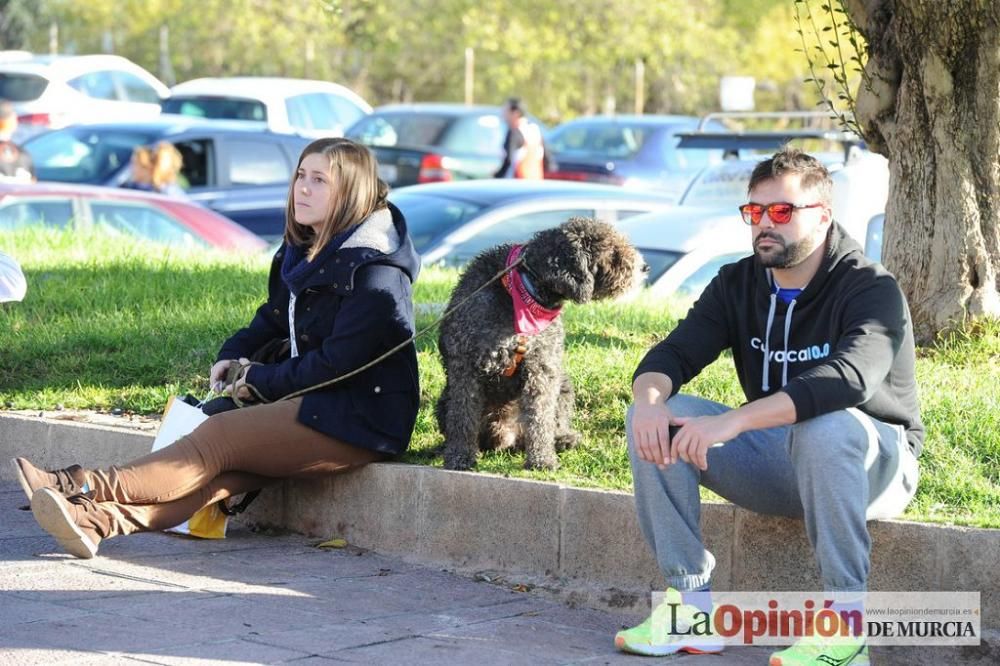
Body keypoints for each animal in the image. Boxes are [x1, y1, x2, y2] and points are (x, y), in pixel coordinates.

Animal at [440, 217, 648, 466]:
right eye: (612, 252)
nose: (645, 267)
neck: (524, 292)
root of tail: (504, 436)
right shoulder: (466, 367)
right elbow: (463, 417)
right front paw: (460, 456)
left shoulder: (541, 368)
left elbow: (540, 417)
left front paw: (542, 459)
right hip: (444, 399)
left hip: (563, 384)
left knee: (554, 422)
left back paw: (563, 439)